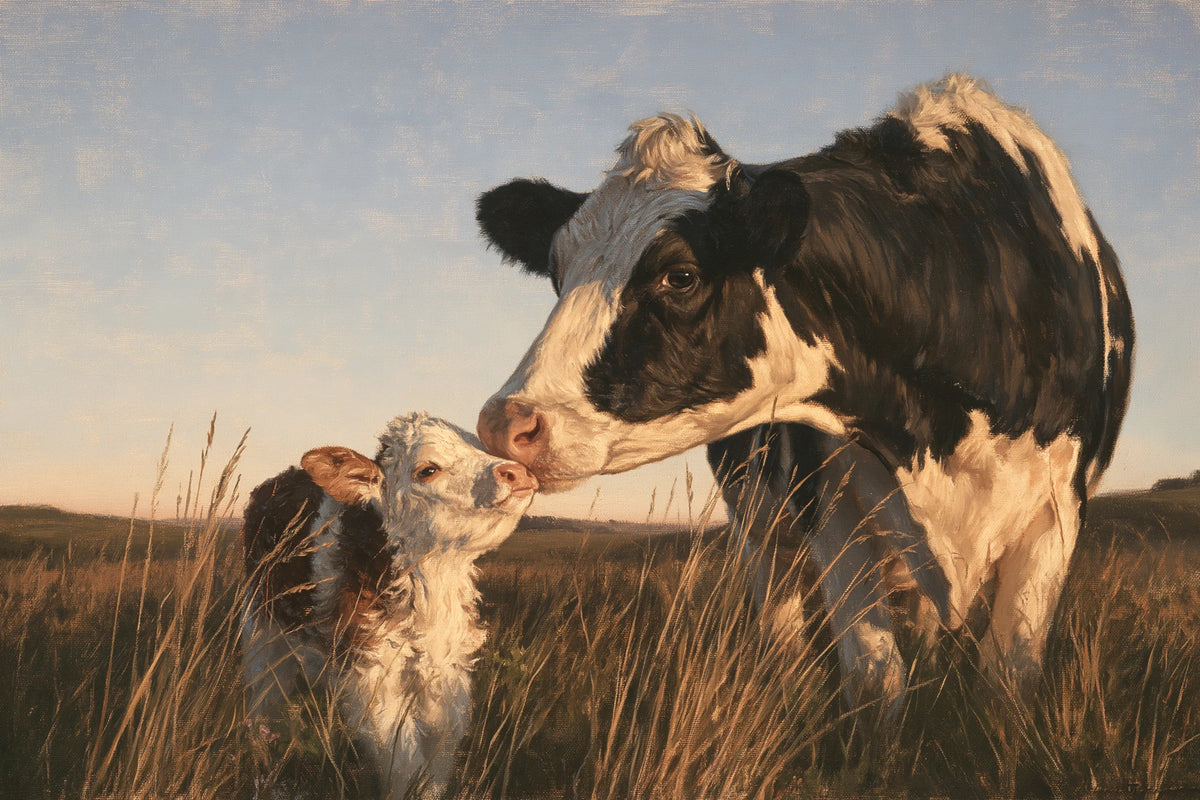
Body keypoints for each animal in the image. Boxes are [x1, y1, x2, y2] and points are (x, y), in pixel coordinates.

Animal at [473, 75, 1133, 712]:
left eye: (680, 275)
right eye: (558, 274)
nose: (505, 423)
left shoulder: (1057, 511)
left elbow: (1008, 678)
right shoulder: (826, 503)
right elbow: (876, 678)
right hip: (757, 518)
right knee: (780, 614)